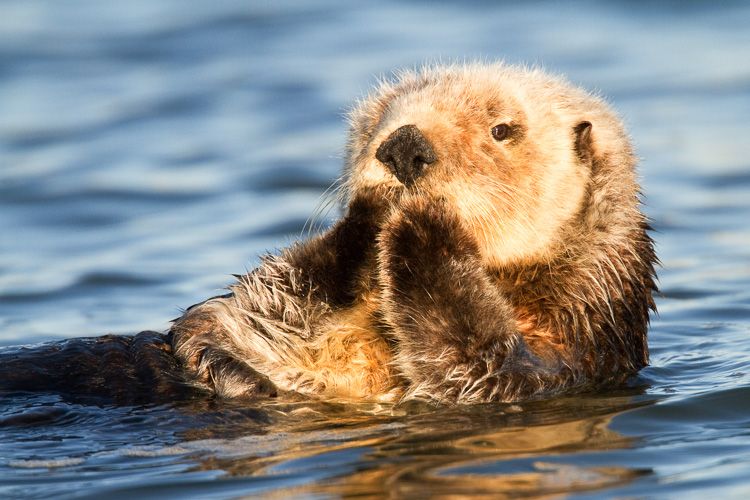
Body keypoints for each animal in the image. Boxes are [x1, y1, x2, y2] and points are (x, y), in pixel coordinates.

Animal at [0, 62, 656, 405]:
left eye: (503, 129)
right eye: (382, 116)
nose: (403, 146)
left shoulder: (574, 350)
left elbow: (481, 367)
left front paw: (425, 227)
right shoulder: (266, 321)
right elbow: (250, 305)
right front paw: (370, 216)